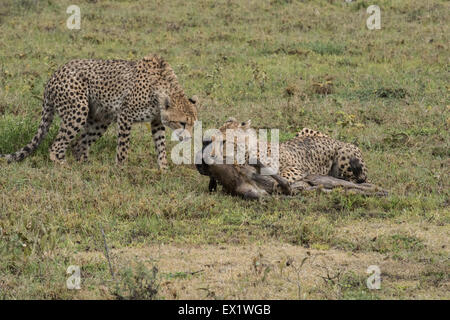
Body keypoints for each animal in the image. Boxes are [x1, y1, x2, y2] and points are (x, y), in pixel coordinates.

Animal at [0, 54, 197, 168]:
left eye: (193, 125)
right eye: (182, 123)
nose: (189, 138)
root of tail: (54, 75)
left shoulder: (156, 121)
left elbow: (161, 146)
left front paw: (164, 170)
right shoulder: (125, 116)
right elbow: (123, 148)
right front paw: (121, 171)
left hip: (101, 120)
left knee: (78, 144)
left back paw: (86, 165)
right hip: (78, 110)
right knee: (57, 145)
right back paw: (64, 166)